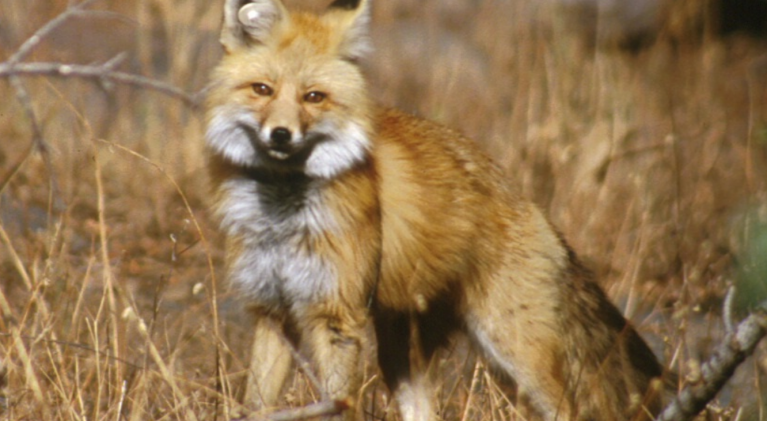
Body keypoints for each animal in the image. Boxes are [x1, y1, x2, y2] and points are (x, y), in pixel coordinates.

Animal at [204, 0, 665, 420]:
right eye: (262, 89)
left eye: (313, 97)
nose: (280, 135)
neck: (280, 215)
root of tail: (530, 204)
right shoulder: (271, 311)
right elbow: (255, 404)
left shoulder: (337, 317)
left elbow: (338, 402)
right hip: (403, 354)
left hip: (516, 352)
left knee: (567, 408)